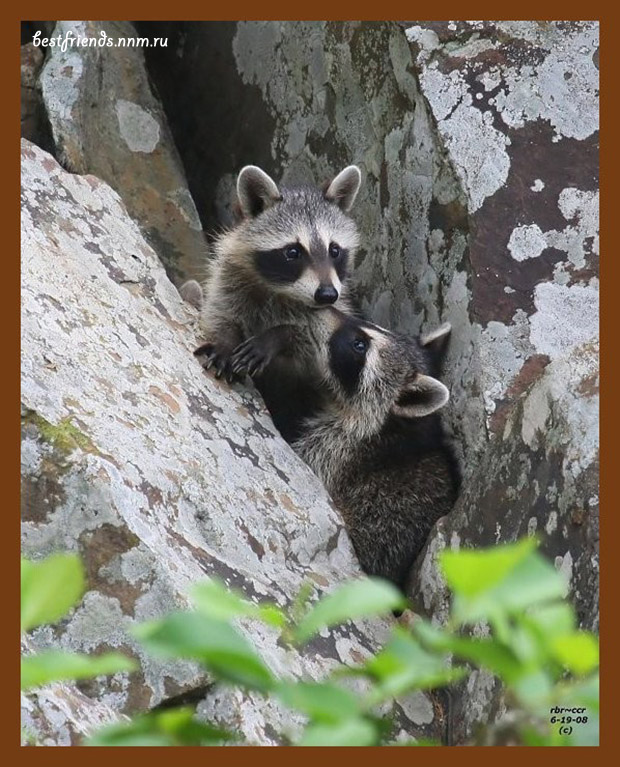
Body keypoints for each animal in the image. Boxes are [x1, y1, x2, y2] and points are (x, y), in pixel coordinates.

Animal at [196, 165, 364, 440]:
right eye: (292, 252)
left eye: (334, 250)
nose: (327, 294)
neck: (283, 291)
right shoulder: (229, 277)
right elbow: (220, 312)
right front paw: (226, 340)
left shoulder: (336, 313)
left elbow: (317, 347)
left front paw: (279, 335)